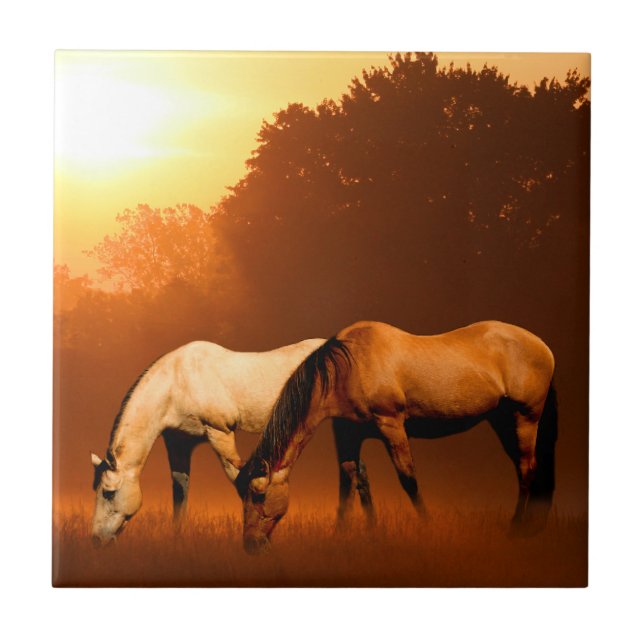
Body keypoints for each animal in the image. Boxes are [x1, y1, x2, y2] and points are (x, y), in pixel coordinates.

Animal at [90, 337, 341, 545]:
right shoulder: (179, 443)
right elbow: (180, 490)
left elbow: (239, 478)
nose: (96, 540)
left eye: (108, 492)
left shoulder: (220, 433)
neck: (177, 383)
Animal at [235, 320, 558, 554]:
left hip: (526, 417)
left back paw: (516, 528)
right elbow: (351, 481)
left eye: (258, 493)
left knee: (527, 468)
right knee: (523, 467)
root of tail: (543, 346)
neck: (349, 367)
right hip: (503, 420)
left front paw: (427, 527)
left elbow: (408, 479)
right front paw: (352, 533)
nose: (250, 545)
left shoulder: (391, 424)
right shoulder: (348, 432)